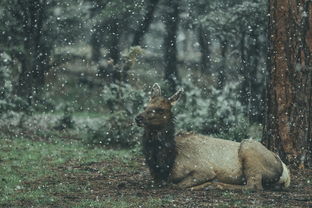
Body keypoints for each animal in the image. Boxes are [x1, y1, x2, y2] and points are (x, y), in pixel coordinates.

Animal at [135, 83, 292, 190]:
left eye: (160, 109)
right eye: (145, 106)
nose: (138, 118)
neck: (167, 163)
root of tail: (285, 172)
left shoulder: (204, 169)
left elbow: (178, 185)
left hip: (249, 148)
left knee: (253, 186)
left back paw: (215, 184)